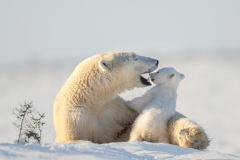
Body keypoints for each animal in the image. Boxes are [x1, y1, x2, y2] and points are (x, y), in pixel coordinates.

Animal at [53, 51, 208, 148]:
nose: (156, 61)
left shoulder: (114, 109)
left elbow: (133, 114)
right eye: (136, 58)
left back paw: (192, 136)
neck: (92, 98)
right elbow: (71, 139)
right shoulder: (75, 117)